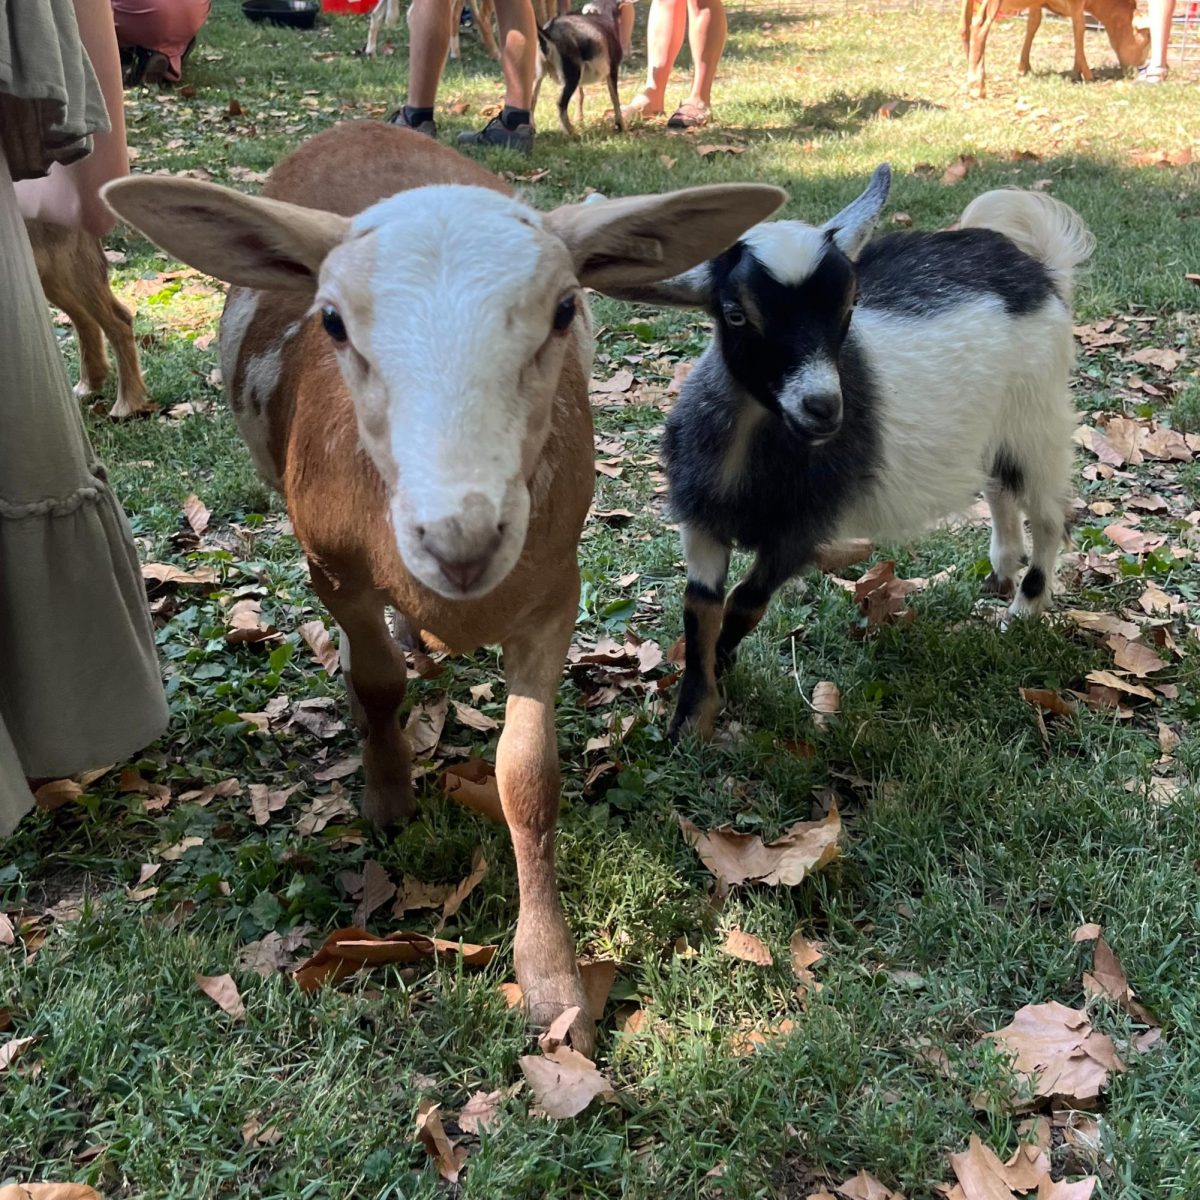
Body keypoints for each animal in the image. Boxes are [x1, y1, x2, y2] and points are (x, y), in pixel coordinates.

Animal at [100, 119, 777, 1051]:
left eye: (564, 309)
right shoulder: (333, 569)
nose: (460, 538)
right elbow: (377, 682)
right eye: (333, 321)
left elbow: (528, 779)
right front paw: (387, 798)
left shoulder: (553, 594)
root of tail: (364, 125)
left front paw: (553, 980)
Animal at [537, 0, 628, 136]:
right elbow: (614, 97)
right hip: (571, 75)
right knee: (560, 103)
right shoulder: (613, 68)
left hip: (538, 74)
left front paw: (580, 121)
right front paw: (621, 125)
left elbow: (579, 96)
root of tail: (549, 32)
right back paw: (572, 133)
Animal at [614, 163, 1094, 734]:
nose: (823, 406)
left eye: (849, 306)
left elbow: (746, 602)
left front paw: (723, 665)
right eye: (734, 314)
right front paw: (691, 716)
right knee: (1000, 490)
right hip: (994, 430)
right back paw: (1000, 572)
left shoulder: (800, 528)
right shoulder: (702, 520)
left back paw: (1022, 610)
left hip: (1035, 420)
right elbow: (701, 608)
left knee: (1048, 514)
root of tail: (1036, 267)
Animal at [960, 0, 1147, 98]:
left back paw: (972, 69)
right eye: (1148, 39)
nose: (1139, 68)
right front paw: (1086, 74)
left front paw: (1023, 68)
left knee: (964, 27)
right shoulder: (1077, 3)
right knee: (979, 25)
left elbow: (1033, 23)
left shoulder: (1037, 4)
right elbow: (1079, 28)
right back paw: (977, 86)